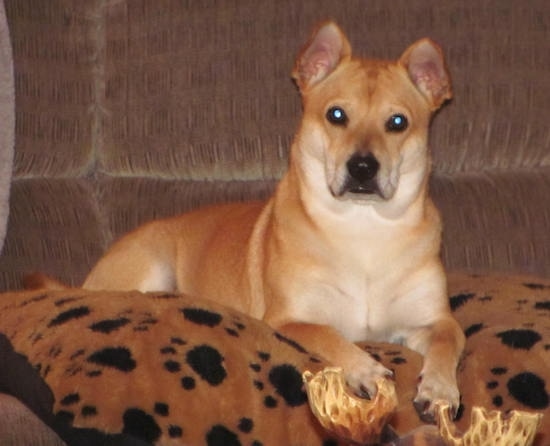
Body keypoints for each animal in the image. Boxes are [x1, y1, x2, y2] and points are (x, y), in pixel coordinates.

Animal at [34, 21, 468, 426]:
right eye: (336, 115)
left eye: (397, 122)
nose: (363, 167)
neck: (363, 231)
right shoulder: (288, 319)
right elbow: (328, 334)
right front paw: (366, 369)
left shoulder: (431, 320)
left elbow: (450, 339)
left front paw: (440, 390)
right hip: (150, 267)